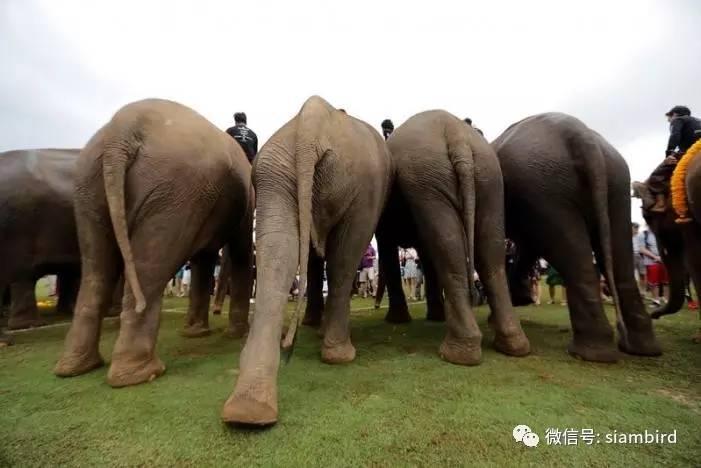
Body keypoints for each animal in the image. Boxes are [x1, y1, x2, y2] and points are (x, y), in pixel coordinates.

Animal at [53, 98, 254, 388]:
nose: (218, 311)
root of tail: (121, 132)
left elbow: (210, 259)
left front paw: (196, 333)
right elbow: (238, 255)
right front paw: (230, 334)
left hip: (101, 187)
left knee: (98, 269)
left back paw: (81, 369)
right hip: (166, 190)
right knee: (143, 269)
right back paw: (140, 373)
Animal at [221, 96, 392, 428]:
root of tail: (315, 115)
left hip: (275, 172)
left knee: (277, 248)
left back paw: (248, 408)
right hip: (361, 185)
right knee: (345, 256)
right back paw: (339, 354)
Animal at [372, 109, 524, 366]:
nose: (375, 306)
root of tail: (457, 136)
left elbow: (391, 249)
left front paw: (398, 320)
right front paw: (435, 317)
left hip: (429, 180)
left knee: (447, 246)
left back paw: (457, 353)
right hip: (486, 177)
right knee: (488, 249)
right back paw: (512, 345)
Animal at [492, 112, 660, 362]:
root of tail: (579, 134)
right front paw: (519, 300)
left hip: (543, 189)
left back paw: (591, 353)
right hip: (614, 185)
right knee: (618, 260)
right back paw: (637, 348)